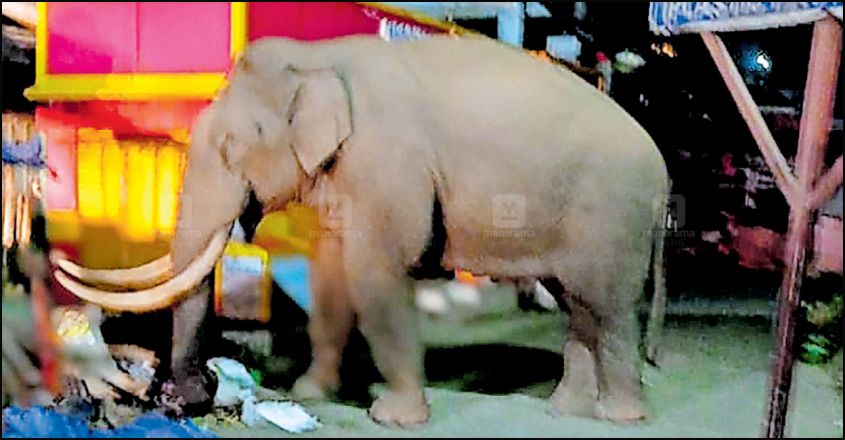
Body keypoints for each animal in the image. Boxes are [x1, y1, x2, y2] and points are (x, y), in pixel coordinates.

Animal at [53, 34, 670, 427]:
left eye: (231, 146)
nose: (184, 396)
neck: (318, 59)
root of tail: (663, 168)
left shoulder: (388, 162)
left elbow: (377, 272)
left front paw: (393, 418)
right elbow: (328, 275)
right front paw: (309, 393)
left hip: (612, 213)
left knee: (609, 306)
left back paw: (621, 416)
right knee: (578, 305)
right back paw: (565, 410)